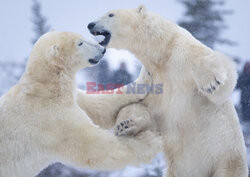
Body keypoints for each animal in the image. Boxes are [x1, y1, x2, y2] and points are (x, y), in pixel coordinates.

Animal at [0, 31, 162, 177]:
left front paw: (144, 78)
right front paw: (149, 141)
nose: (102, 49)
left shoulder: (71, 98)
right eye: (80, 43)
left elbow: (98, 106)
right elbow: (95, 147)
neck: (43, 89)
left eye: (82, 37)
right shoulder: (50, 120)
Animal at [86, 5, 248, 177]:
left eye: (110, 14)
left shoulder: (181, 53)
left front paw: (211, 83)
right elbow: (141, 107)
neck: (162, 54)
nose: (90, 24)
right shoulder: (154, 79)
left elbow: (222, 80)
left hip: (226, 158)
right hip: (177, 169)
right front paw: (125, 125)